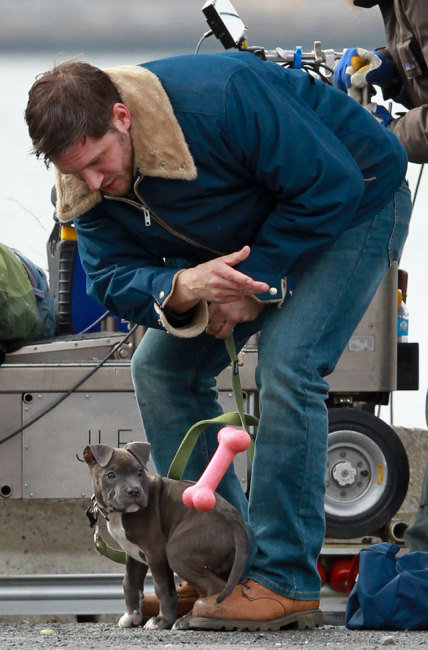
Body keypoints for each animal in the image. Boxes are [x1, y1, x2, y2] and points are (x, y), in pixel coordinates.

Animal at [84, 440, 249, 628]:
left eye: (139, 472)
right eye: (111, 475)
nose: (134, 491)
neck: (119, 514)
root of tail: (235, 522)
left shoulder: (155, 552)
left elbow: (162, 588)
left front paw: (162, 620)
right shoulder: (133, 554)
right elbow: (130, 582)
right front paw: (132, 616)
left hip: (177, 551)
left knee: (214, 587)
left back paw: (186, 620)